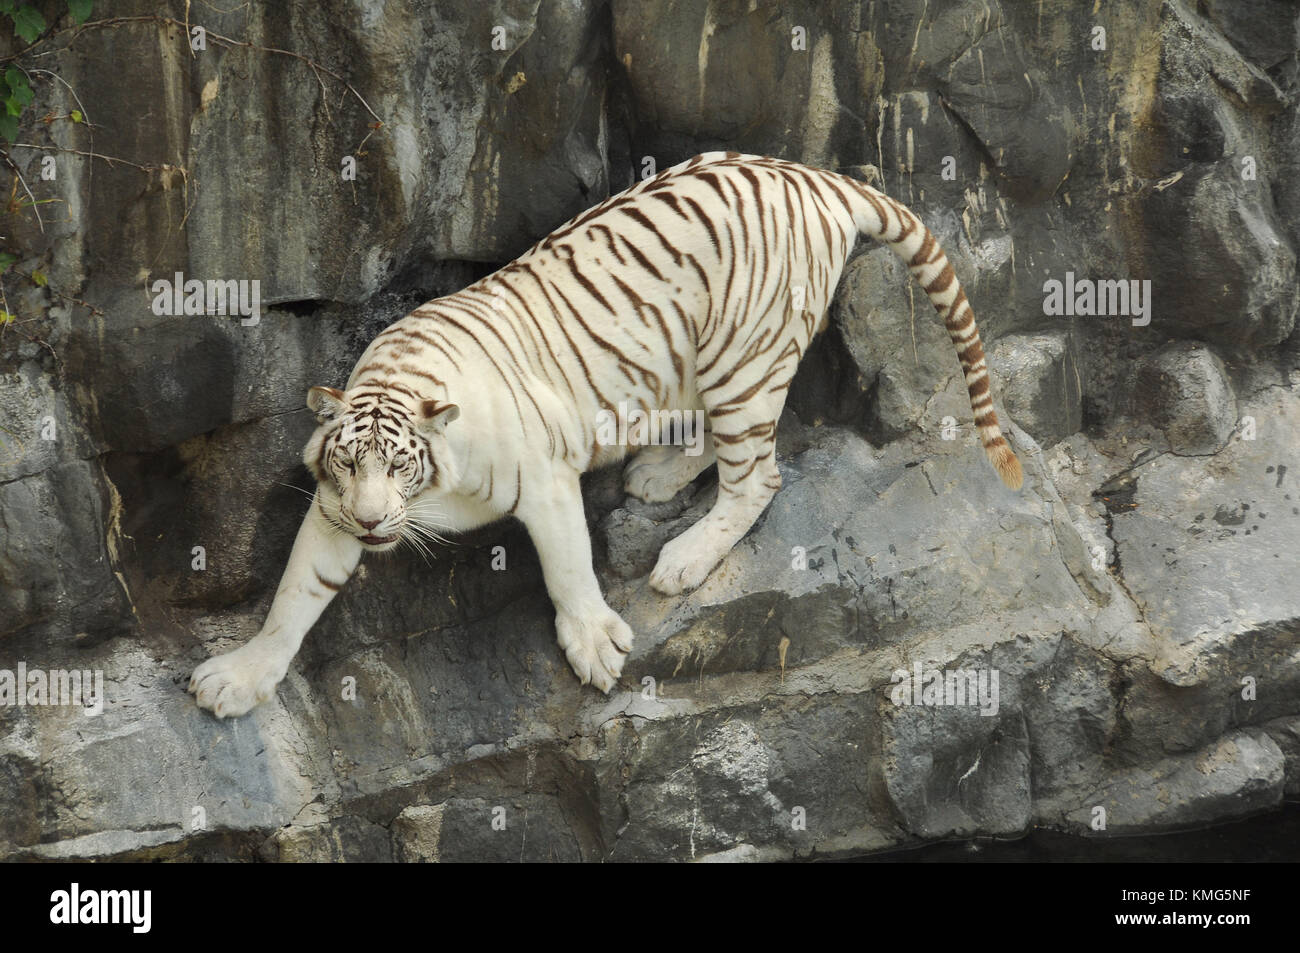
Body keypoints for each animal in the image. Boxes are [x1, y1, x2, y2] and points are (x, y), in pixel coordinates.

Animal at [189, 151, 1022, 718]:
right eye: (352, 466)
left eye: (400, 467)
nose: (371, 523)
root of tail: (817, 176)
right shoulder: (331, 508)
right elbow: (295, 591)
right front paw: (239, 676)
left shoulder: (544, 476)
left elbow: (566, 565)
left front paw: (594, 645)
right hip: (697, 356)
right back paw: (656, 474)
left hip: (740, 352)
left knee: (758, 474)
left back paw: (683, 557)